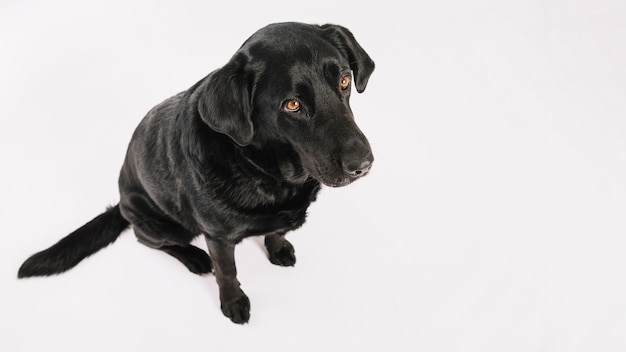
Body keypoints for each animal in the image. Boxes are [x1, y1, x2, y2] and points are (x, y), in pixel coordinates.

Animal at [17, 22, 372, 324]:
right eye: (292, 104)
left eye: (344, 80)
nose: (364, 164)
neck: (267, 172)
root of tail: (120, 203)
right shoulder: (218, 236)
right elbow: (227, 271)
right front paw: (233, 302)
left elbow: (277, 231)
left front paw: (278, 247)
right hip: (161, 223)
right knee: (148, 239)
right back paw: (195, 258)